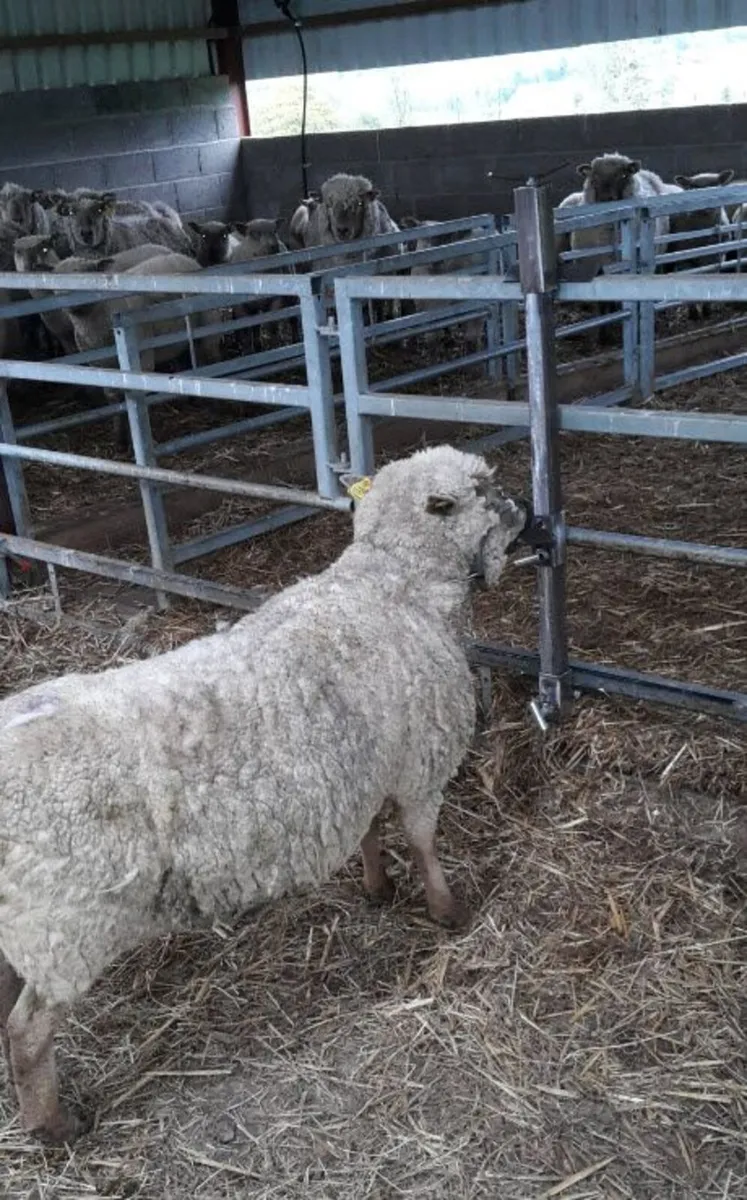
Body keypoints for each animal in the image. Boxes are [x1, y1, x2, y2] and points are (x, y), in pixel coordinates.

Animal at [0, 443, 527, 1142]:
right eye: (480, 490)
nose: (528, 511)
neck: (391, 587)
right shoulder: (420, 763)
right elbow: (423, 840)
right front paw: (447, 911)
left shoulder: (363, 765)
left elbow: (371, 831)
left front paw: (377, 887)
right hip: (67, 928)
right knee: (27, 1032)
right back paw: (54, 1125)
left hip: (28, 923)